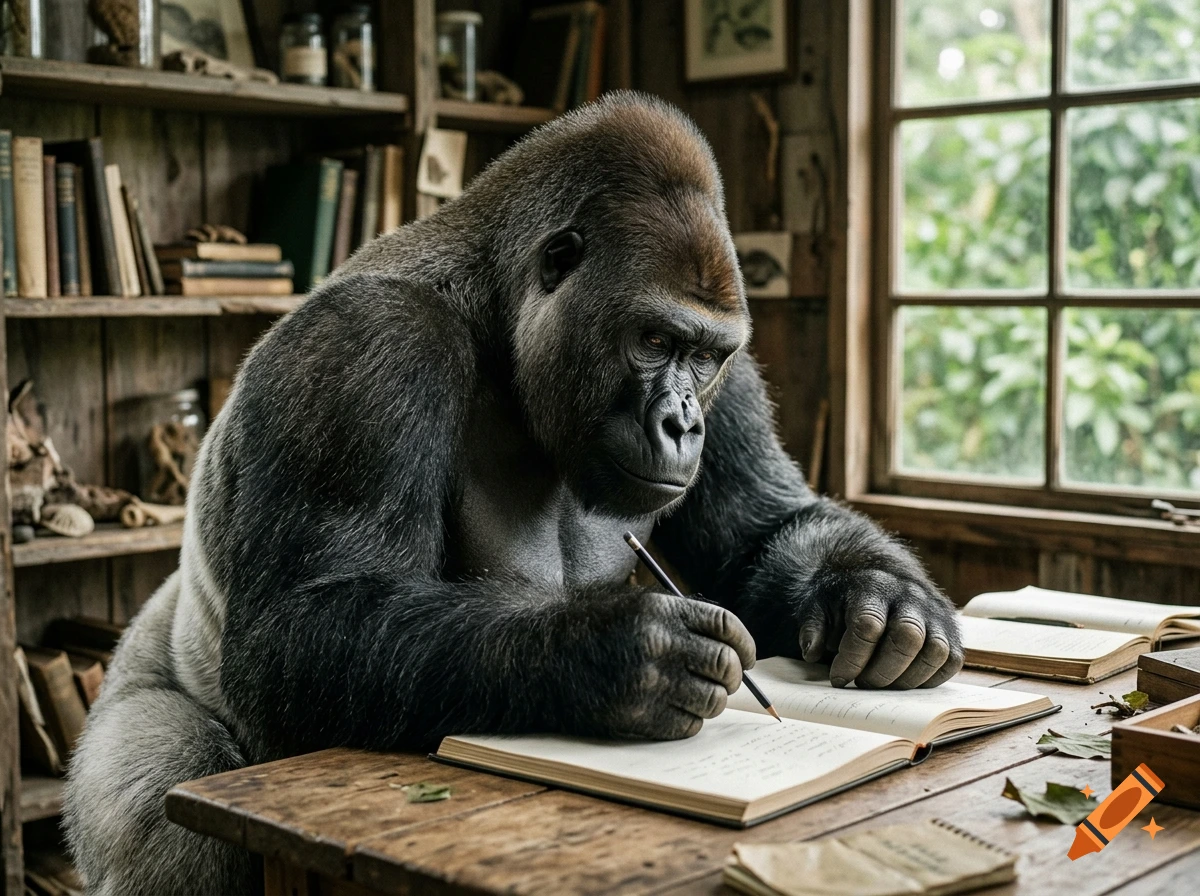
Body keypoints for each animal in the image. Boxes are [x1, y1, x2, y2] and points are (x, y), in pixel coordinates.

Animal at [64, 93, 962, 895]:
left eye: (702, 356)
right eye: (654, 340)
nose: (681, 424)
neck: (496, 316)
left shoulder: (730, 381)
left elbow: (763, 529)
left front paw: (880, 603)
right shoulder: (365, 349)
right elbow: (303, 626)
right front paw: (621, 655)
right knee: (167, 789)